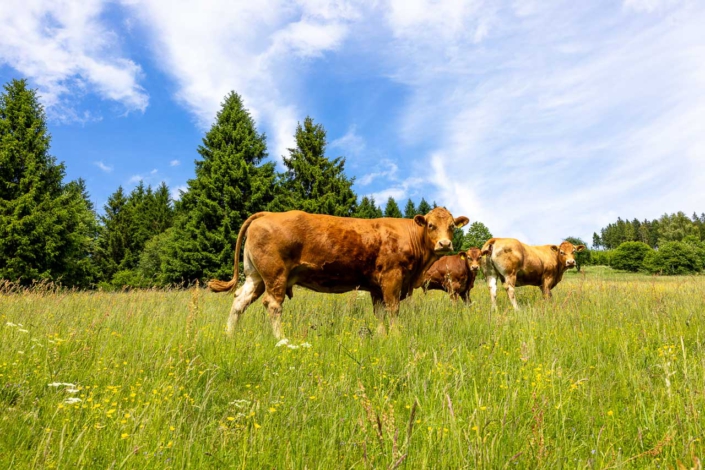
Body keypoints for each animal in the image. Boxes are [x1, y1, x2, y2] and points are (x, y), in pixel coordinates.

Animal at [208, 208, 469, 338]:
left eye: (452, 227)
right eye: (431, 225)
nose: (445, 244)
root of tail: (268, 213)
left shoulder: (376, 286)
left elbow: (380, 313)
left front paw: (381, 336)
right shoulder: (392, 278)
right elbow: (393, 309)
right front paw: (395, 337)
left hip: (256, 276)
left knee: (240, 301)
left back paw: (229, 335)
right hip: (275, 275)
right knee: (272, 305)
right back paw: (281, 339)